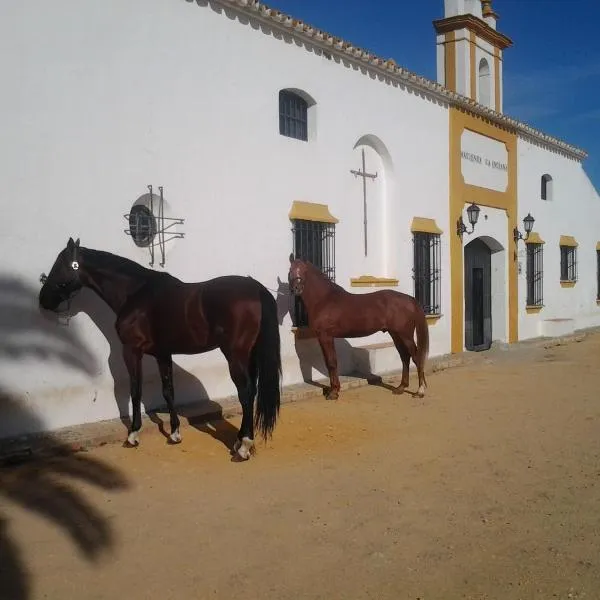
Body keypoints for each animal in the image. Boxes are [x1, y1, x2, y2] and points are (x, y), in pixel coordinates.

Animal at [38, 238, 282, 460]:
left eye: (58, 265)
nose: (43, 300)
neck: (134, 294)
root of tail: (256, 288)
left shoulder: (132, 351)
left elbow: (135, 391)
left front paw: (133, 435)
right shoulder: (163, 354)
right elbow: (168, 391)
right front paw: (174, 434)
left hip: (235, 355)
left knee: (246, 393)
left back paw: (243, 447)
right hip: (249, 356)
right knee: (250, 393)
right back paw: (239, 441)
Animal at [288, 258, 428, 398]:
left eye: (304, 271)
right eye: (290, 270)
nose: (296, 288)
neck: (324, 300)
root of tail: (410, 299)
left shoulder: (325, 336)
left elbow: (331, 363)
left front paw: (333, 392)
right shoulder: (323, 337)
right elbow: (329, 362)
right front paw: (334, 389)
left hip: (406, 335)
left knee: (416, 357)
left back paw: (420, 391)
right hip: (396, 334)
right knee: (405, 357)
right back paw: (401, 387)